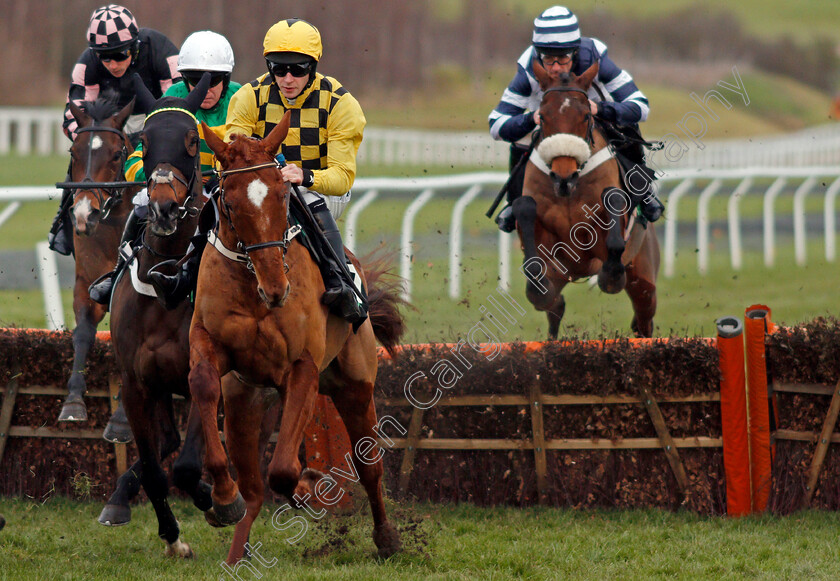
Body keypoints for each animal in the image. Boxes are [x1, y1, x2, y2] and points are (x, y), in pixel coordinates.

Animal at [189, 115, 404, 564]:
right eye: (229, 203)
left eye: (283, 196)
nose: (277, 289)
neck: (252, 286)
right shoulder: (211, 347)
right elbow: (202, 384)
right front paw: (222, 499)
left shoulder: (302, 368)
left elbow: (286, 470)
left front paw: (309, 484)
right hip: (246, 401)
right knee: (253, 488)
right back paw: (236, 551)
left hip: (355, 384)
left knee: (369, 466)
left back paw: (386, 538)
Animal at [508, 61, 660, 338]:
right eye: (542, 117)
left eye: (586, 116)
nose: (563, 176)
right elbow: (525, 211)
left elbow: (613, 202)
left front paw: (610, 274)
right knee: (554, 306)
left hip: (644, 275)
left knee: (644, 318)